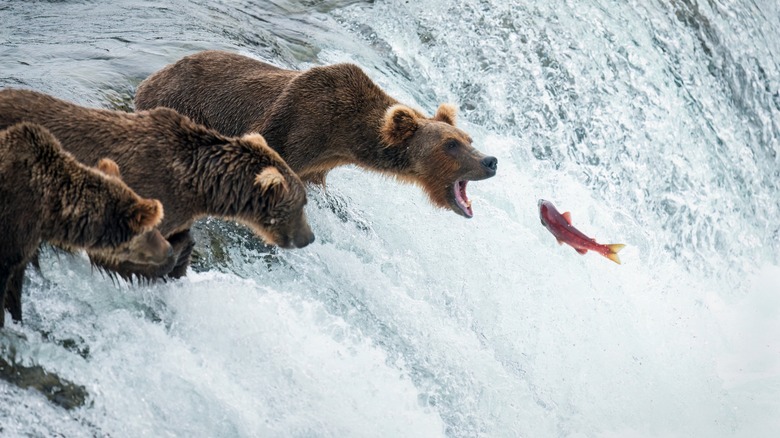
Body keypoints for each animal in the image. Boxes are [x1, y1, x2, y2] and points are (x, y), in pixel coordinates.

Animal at [133, 50, 500, 218]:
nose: (490, 161)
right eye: (450, 144)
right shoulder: (296, 128)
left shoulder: (320, 164)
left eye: (468, 139)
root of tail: (151, 78)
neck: (343, 136)